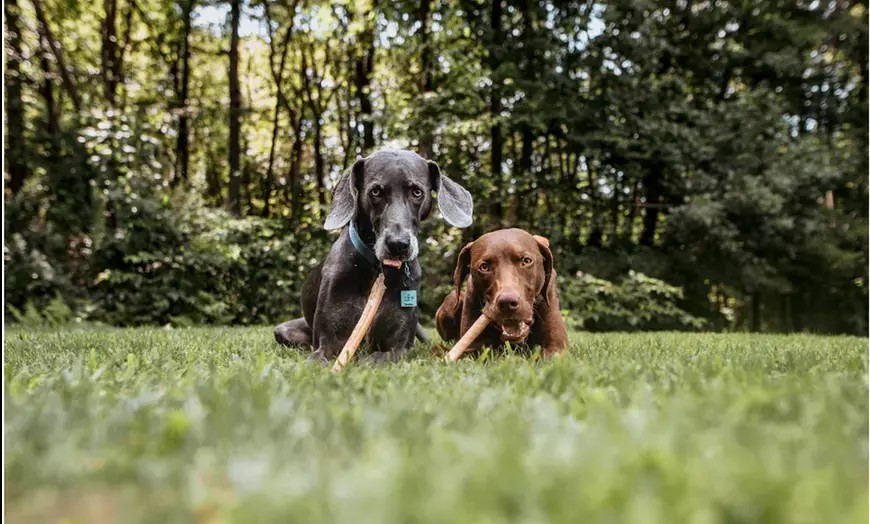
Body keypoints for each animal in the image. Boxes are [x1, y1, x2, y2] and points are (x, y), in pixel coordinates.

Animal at [276, 148, 474, 364]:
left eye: (417, 192)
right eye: (376, 191)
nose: (398, 245)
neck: (378, 271)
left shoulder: (398, 348)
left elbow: (376, 358)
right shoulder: (327, 344)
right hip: (283, 330)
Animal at [436, 228, 572, 356]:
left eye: (526, 261)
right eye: (484, 267)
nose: (507, 303)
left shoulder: (556, 347)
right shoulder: (473, 348)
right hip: (452, 299)